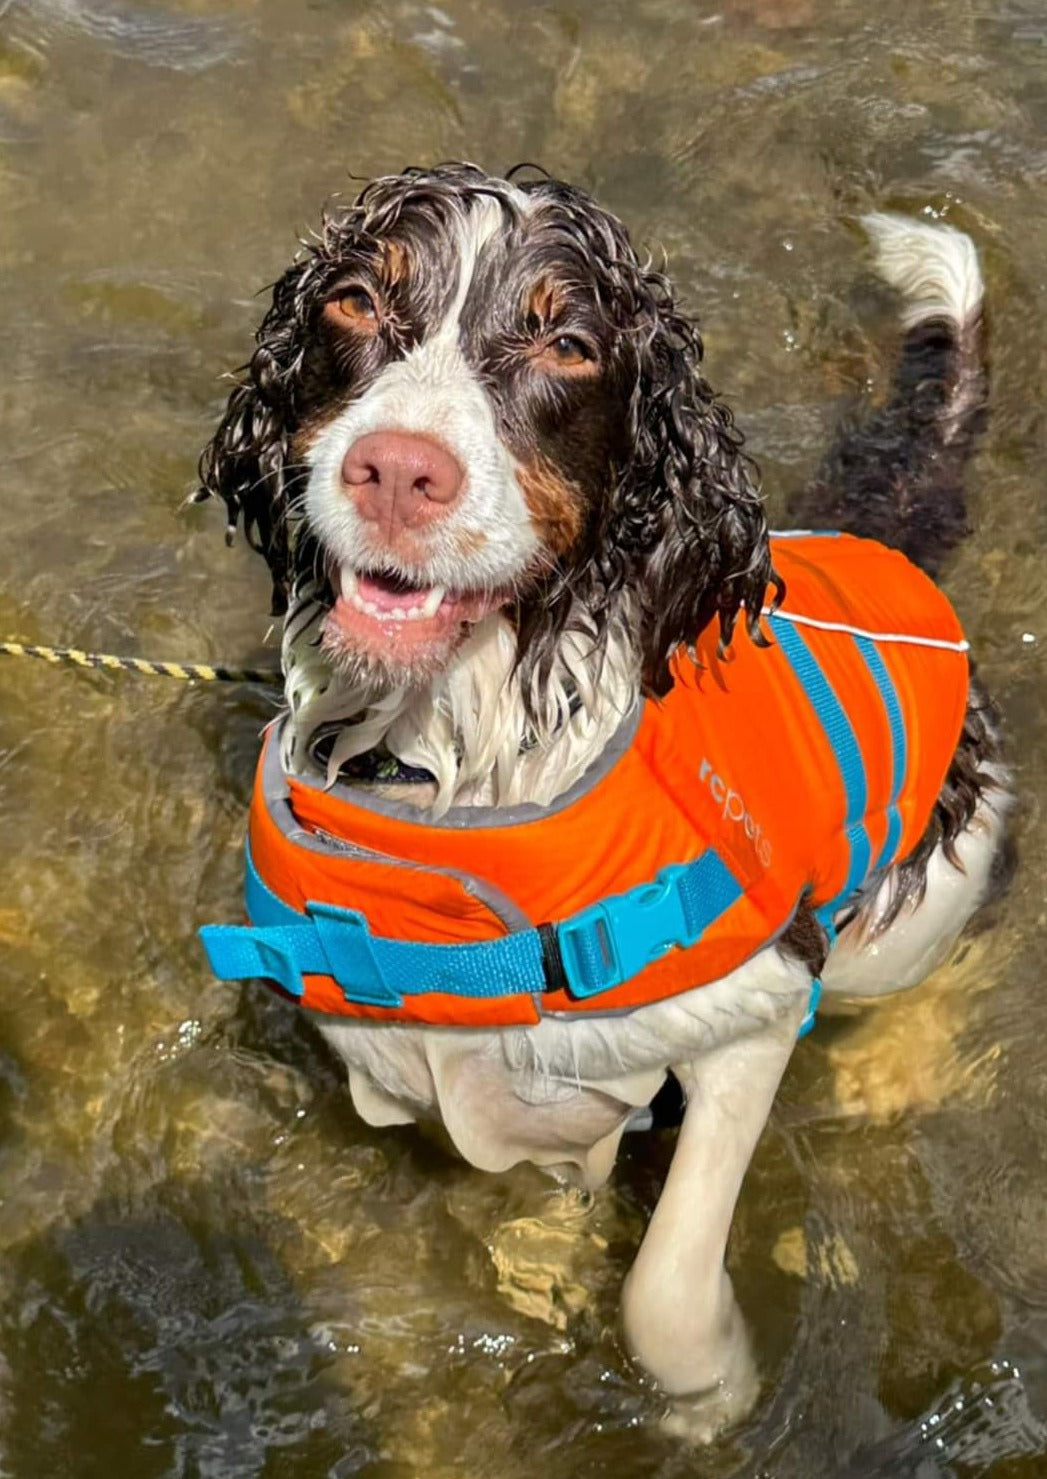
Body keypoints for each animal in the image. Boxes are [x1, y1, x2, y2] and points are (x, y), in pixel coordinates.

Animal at [196, 164, 1005, 1431]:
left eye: (568, 344)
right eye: (354, 304)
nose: (397, 472)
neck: (456, 777)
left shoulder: (754, 1014)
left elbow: (664, 1285)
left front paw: (710, 1395)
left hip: (914, 904)